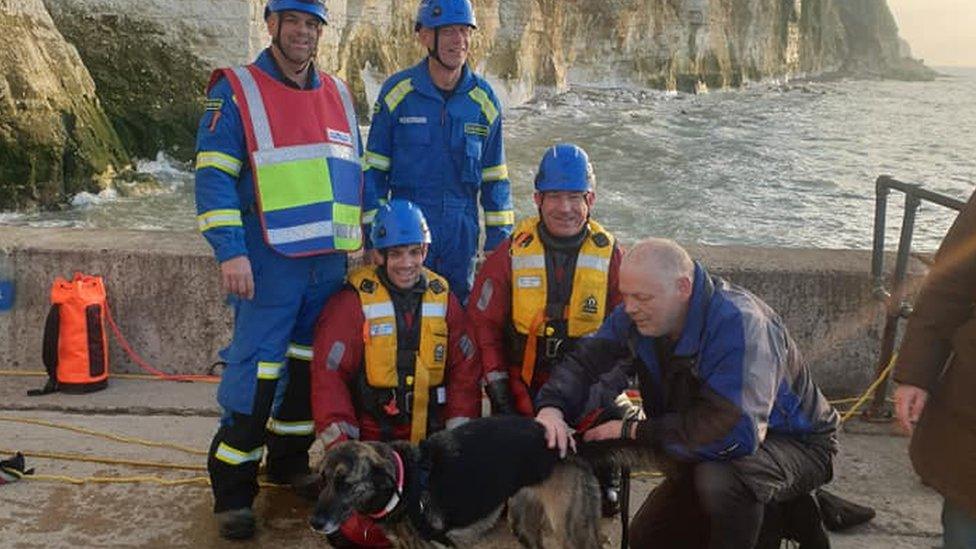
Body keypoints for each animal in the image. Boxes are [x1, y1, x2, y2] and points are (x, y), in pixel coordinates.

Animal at [308, 416, 612, 548]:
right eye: (323, 479)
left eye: (346, 484)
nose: (315, 523)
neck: (405, 483)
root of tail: (573, 443)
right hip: (522, 522)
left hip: (572, 532)